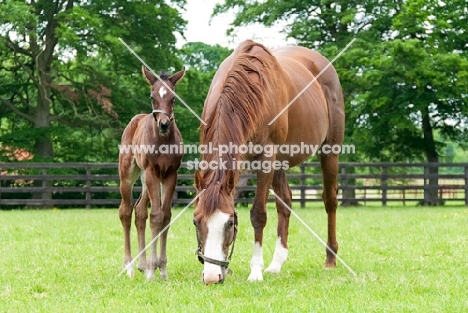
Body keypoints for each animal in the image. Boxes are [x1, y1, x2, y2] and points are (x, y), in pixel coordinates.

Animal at [118, 65, 186, 278]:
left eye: (173, 98)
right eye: (152, 96)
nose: (163, 124)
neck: (163, 141)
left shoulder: (171, 174)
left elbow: (166, 216)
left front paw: (161, 268)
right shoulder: (152, 172)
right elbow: (156, 216)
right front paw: (152, 271)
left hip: (146, 179)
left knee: (140, 211)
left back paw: (142, 264)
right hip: (130, 174)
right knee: (125, 211)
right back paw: (130, 266)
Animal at [192, 39, 346, 282]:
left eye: (230, 223)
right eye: (196, 221)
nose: (211, 276)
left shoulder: (265, 157)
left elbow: (258, 214)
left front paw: (255, 271)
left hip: (330, 151)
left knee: (330, 200)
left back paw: (330, 258)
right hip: (280, 161)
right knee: (286, 202)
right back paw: (276, 263)